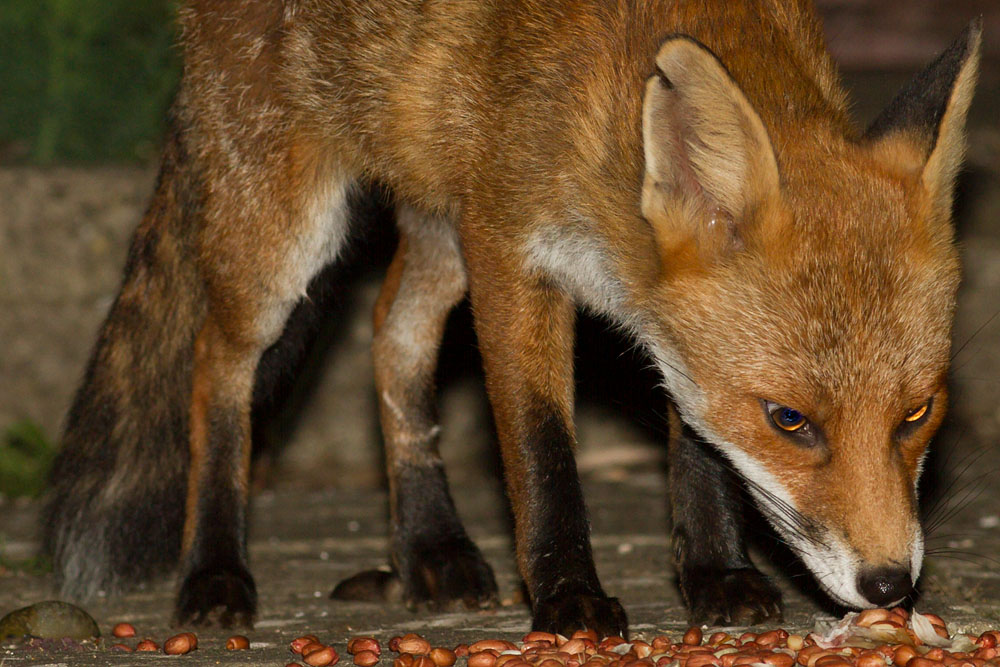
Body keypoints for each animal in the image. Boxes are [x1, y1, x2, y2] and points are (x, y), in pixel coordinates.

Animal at [42, 0, 981, 638]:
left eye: (917, 412)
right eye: (790, 420)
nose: (890, 584)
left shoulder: (662, 323)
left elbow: (699, 448)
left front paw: (715, 573)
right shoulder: (508, 251)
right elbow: (539, 448)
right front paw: (568, 596)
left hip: (434, 221)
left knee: (391, 331)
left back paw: (429, 547)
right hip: (284, 227)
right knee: (216, 366)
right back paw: (214, 571)